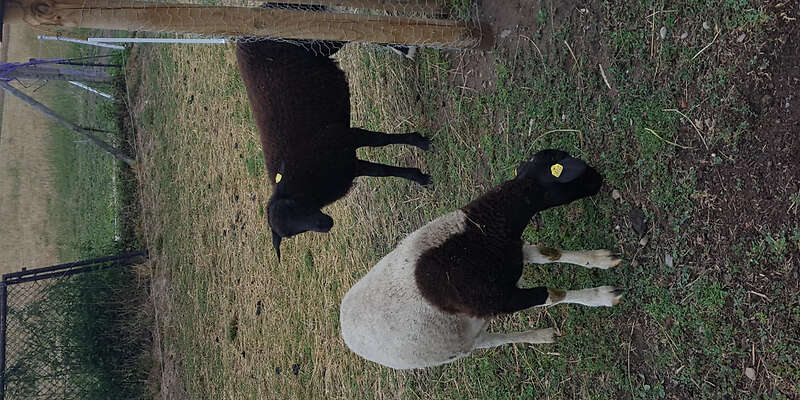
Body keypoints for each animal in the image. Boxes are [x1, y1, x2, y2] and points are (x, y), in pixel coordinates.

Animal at [236, 40, 431, 260]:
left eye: (296, 204)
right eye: (293, 234)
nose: (327, 225)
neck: (305, 180)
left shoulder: (345, 136)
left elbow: (382, 141)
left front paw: (421, 142)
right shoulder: (347, 165)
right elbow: (382, 171)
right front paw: (420, 178)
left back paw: (407, 49)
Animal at [339, 149, 623, 370]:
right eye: (568, 174)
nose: (598, 179)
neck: (480, 230)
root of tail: (344, 326)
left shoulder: (511, 254)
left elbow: (549, 254)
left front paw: (602, 259)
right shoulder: (500, 299)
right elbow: (554, 294)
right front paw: (604, 296)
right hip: (453, 348)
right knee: (491, 341)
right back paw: (541, 336)